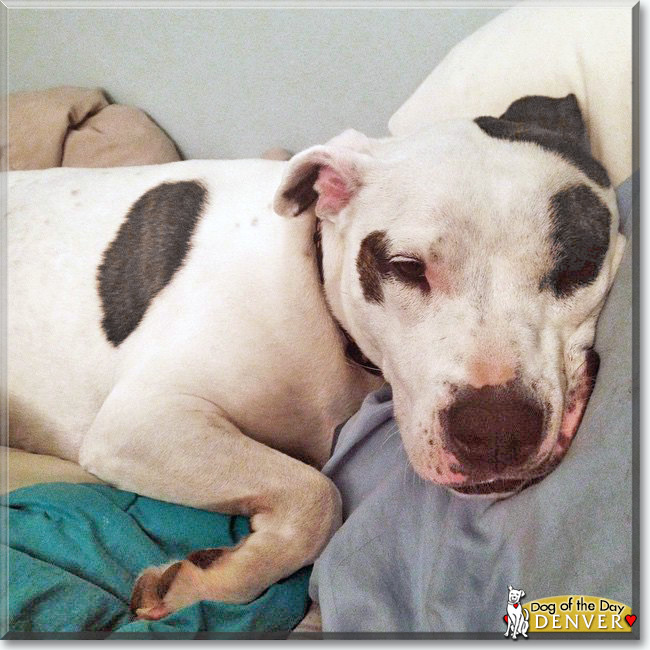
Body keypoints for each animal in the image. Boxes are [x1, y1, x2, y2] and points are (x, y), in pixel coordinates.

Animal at [6, 93, 624, 616]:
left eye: (578, 267)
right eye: (404, 267)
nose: (496, 431)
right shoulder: (143, 423)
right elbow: (317, 495)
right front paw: (205, 584)